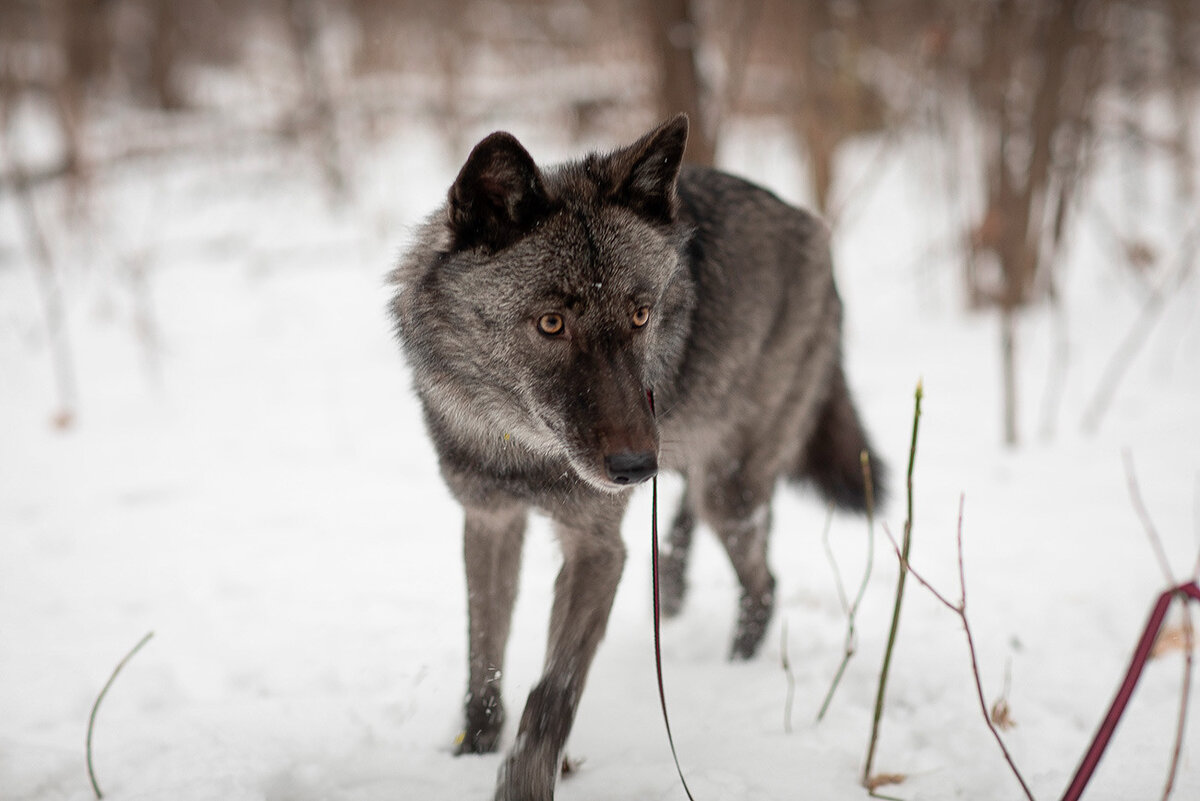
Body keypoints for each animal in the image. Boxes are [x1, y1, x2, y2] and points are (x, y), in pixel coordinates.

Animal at [388, 113, 888, 801]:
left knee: (762, 583)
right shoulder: (488, 519)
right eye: (551, 323)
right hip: (698, 462)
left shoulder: (599, 550)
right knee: (697, 529)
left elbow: (553, 692)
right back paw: (672, 591)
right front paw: (471, 751)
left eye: (641, 315)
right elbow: (483, 657)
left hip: (727, 488)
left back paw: (729, 674)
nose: (634, 468)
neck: (521, 447)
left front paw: (523, 782)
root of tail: (812, 229)